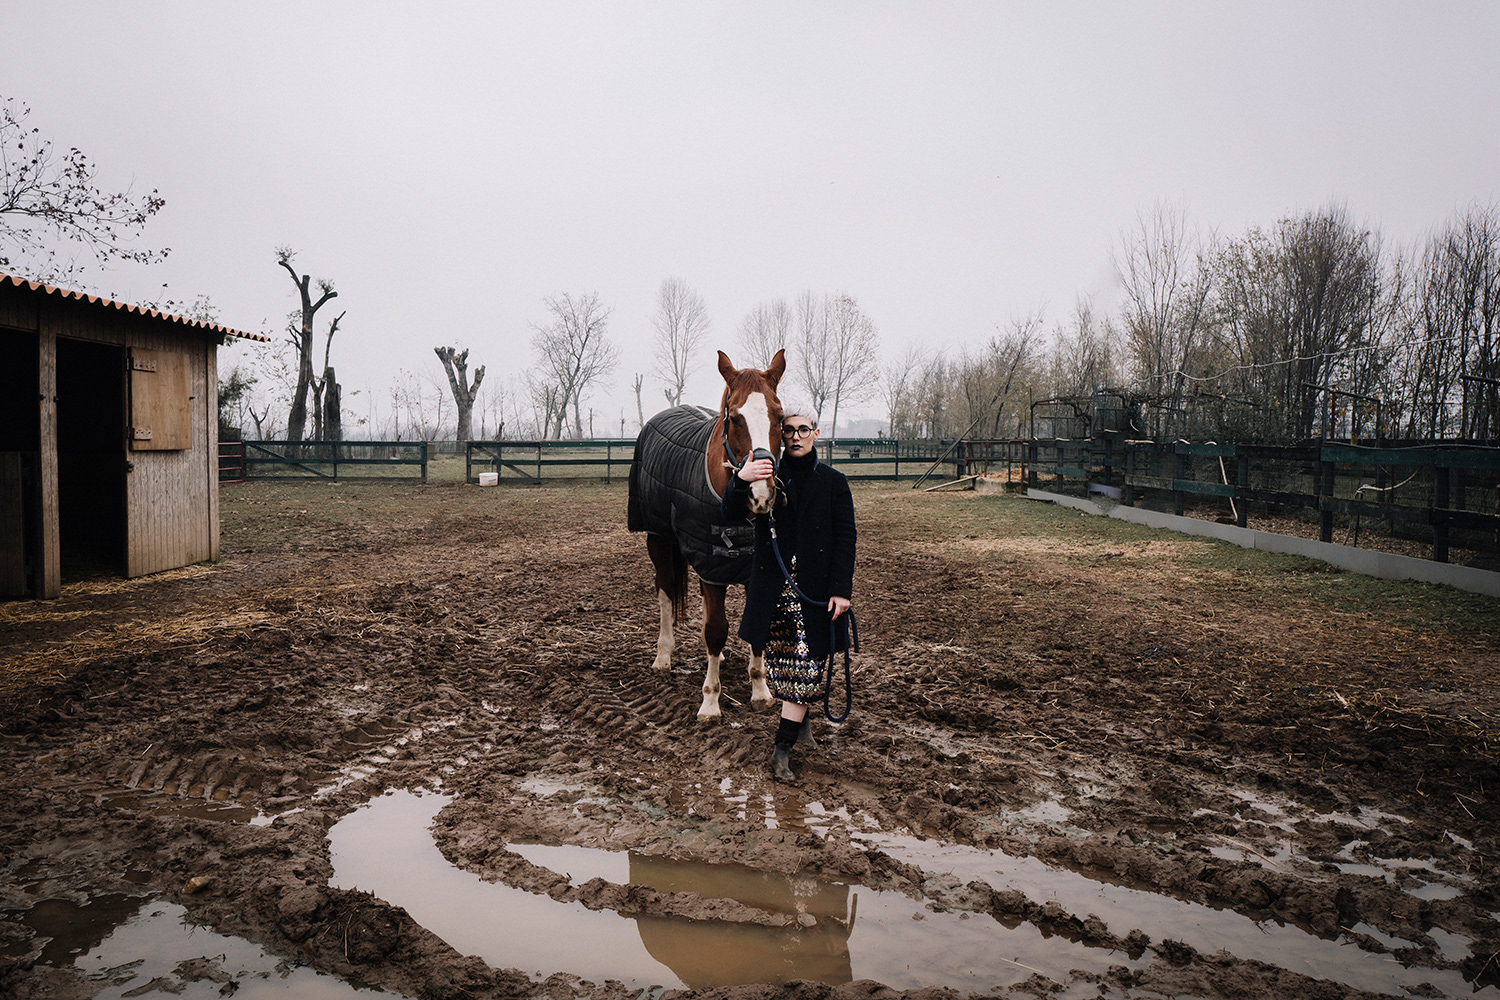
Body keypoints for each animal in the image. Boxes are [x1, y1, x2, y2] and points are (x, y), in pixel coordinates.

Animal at [627, 349, 786, 719]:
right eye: (736, 419)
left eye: (779, 416)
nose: (761, 495)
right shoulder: (711, 564)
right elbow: (716, 629)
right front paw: (711, 701)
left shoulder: (748, 567)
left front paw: (760, 689)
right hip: (658, 540)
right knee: (665, 592)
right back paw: (663, 656)